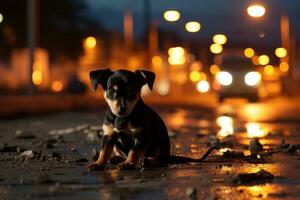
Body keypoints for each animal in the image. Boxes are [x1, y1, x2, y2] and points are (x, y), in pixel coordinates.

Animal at [87, 69, 218, 170]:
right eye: (111, 91)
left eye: (131, 92)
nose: (121, 109)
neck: (121, 118)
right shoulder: (108, 136)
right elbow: (104, 151)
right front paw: (98, 163)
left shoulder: (142, 137)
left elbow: (133, 151)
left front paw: (128, 163)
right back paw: (117, 158)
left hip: (162, 144)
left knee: (162, 160)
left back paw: (148, 161)